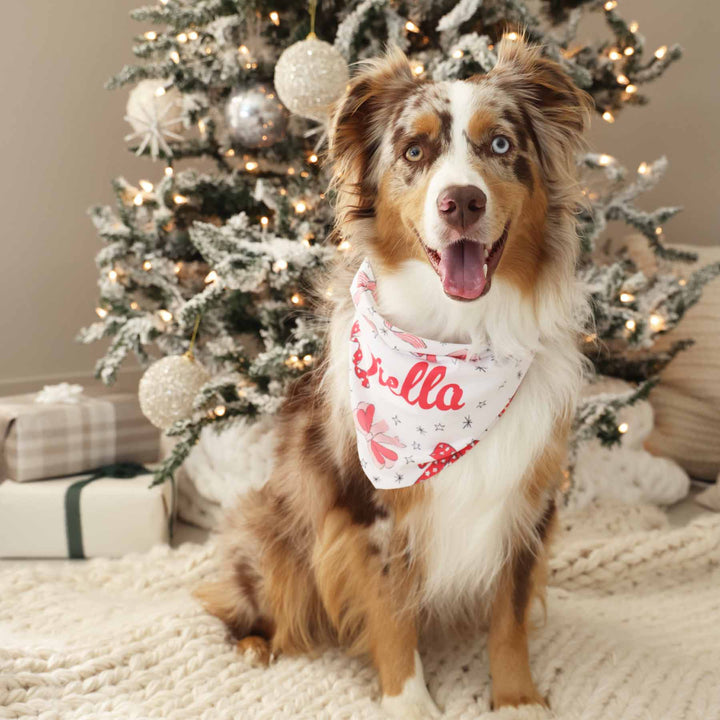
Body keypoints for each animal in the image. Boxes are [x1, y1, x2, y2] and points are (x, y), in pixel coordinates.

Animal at [197, 36, 592, 716]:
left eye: (500, 146)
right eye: (414, 151)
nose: (462, 201)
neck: (457, 340)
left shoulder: (527, 500)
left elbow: (510, 615)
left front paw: (517, 699)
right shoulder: (368, 512)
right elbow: (390, 614)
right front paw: (410, 702)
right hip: (276, 531)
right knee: (246, 598)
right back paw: (254, 646)